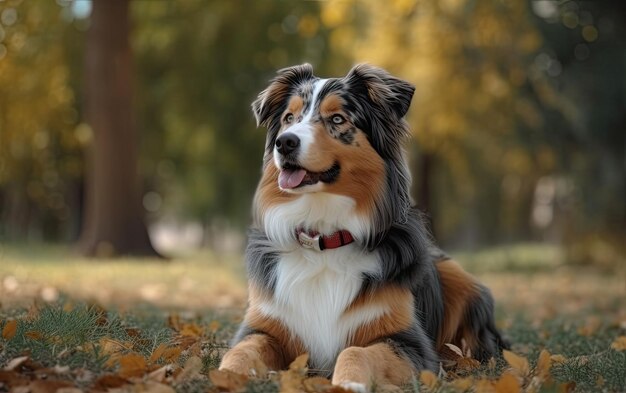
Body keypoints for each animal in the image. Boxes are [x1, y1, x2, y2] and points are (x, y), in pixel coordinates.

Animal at [217, 63, 504, 388]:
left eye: (337, 119)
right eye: (288, 118)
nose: (285, 142)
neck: (324, 237)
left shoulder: (408, 343)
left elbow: (355, 350)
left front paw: (348, 382)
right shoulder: (264, 326)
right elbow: (242, 349)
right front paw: (225, 376)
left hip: (461, 278)